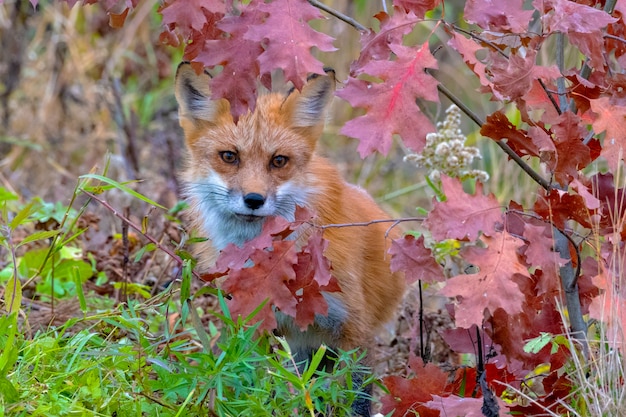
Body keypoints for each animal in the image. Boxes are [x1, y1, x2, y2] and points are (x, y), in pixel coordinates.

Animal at [173, 63, 404, 414]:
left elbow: (357, 400)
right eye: (229, 156)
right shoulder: (254, 326)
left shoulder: (355, 330)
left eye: (278, 161)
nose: (254, 200)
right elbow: (261, 390)